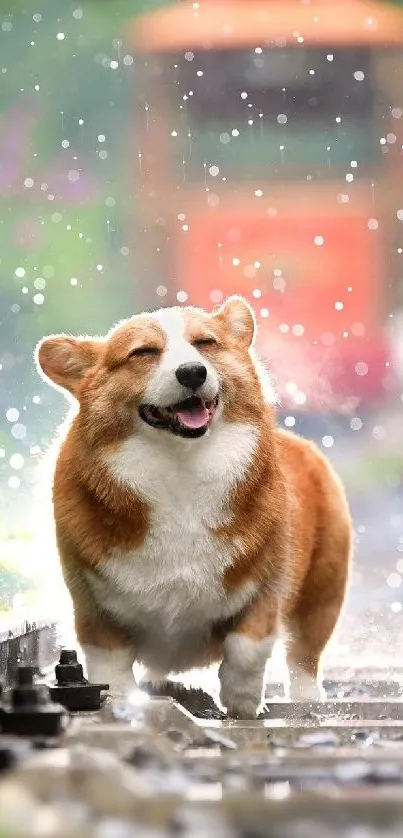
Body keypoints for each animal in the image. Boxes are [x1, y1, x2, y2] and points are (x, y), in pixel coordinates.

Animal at [36, 298, 352, 720]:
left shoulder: (266, 584)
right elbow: (111, 665)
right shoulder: (92, 604)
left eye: (205, 343)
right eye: (143, 352)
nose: (192, 372)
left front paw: (243, 701)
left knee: (304, 654)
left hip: (323, 590)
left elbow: (247, 648)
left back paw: (304, 698)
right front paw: (121, 701)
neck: (180, 466)